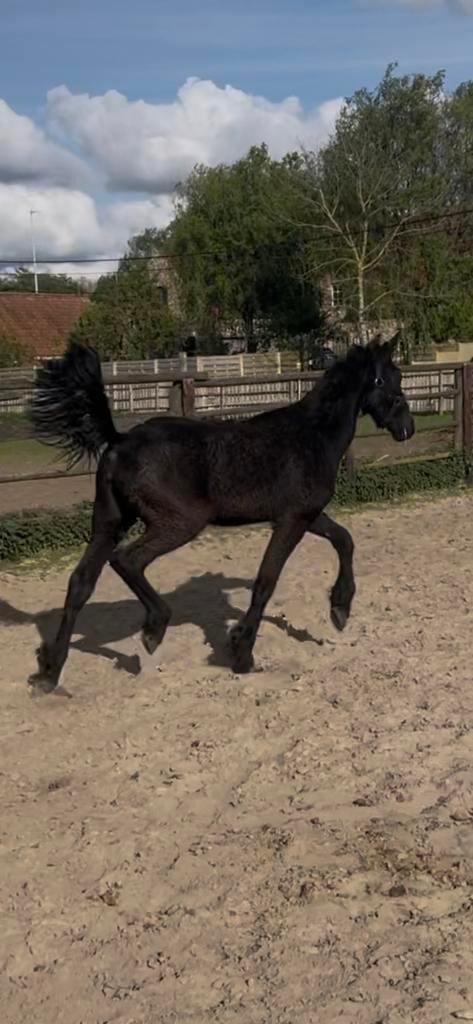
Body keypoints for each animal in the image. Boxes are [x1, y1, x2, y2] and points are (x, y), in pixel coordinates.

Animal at [27, 336, 414, 693]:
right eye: (387, 379)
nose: (407, 428)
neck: (313, 435)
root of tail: (119, 441)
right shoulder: (292, 520)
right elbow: (266, 581)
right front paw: (242, 653)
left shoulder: (307, 514)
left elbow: (344, 540)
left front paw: (340, 610)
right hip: (179, 523)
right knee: (127, 561)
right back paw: (154, 628)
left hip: (110, 521)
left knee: (81, 582)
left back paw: (49, 673)